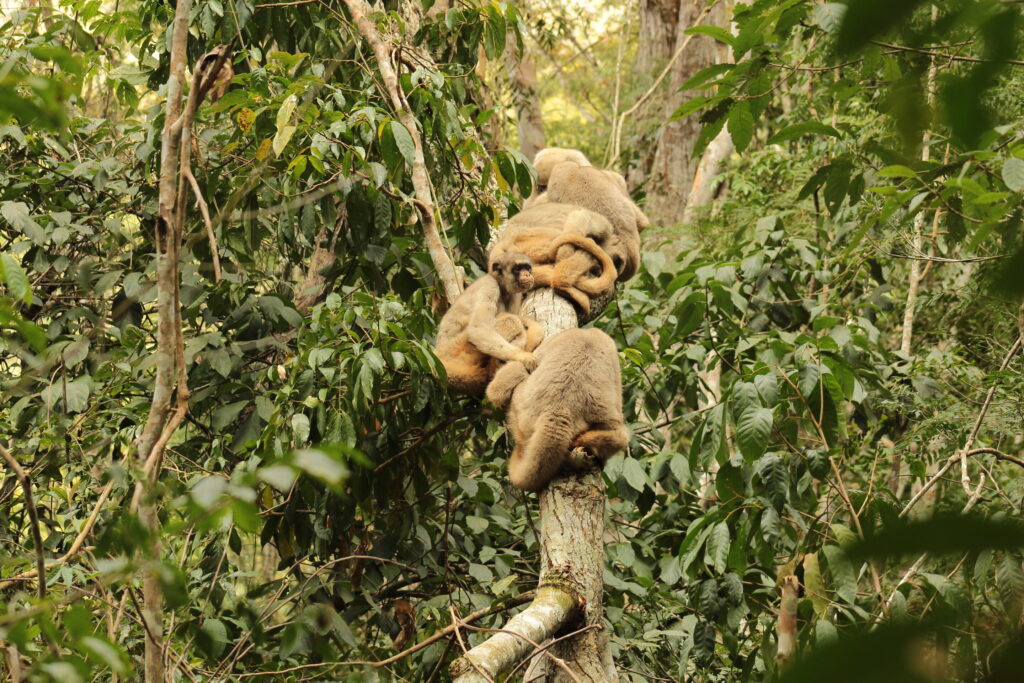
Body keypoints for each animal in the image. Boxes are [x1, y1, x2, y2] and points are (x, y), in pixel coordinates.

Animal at [434, 252, 544, 395]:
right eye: (518, 268)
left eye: (527, 268)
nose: (527, 274)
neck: (501, 285)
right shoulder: (490, 285)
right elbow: (478, 329)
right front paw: (522, 356)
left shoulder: (513, 294)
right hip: (456, 349)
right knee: (509, 319)